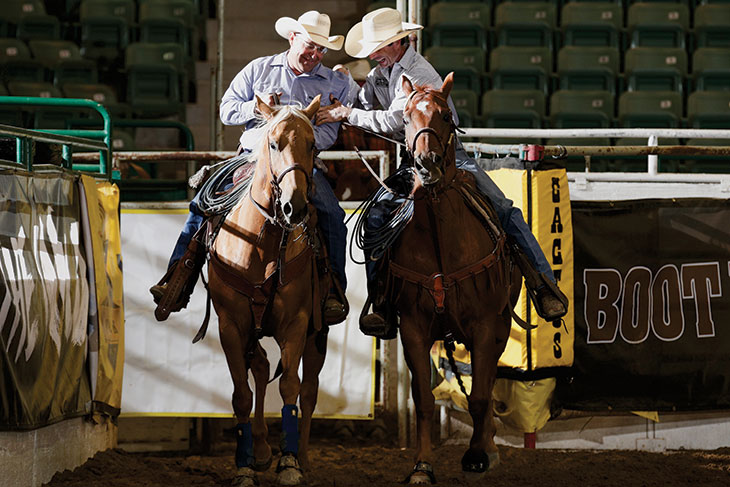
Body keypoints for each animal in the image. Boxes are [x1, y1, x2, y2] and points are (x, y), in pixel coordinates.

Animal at [206, 96, 328, 487]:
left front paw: (288, 463)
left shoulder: (298, 324)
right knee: (259, 367)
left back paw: (301, 457)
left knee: (309, 390)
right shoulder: (230, 325)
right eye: (274, 144)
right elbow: (241, 396)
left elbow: (290, 386)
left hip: (318, 334)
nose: (296, 206)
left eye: (313, 145)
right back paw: (259, 450)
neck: (261, 244)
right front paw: (244, 466)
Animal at [392, 73, 516, 484]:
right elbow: (424, 400)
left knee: (488, 382)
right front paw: (422, 465)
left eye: (445, 116)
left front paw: (479, 454)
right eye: (405, 117)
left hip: (502, 323)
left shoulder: (485, 324)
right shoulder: (412, 327)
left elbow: (478, 396)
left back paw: (489, 446)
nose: (426, 163)